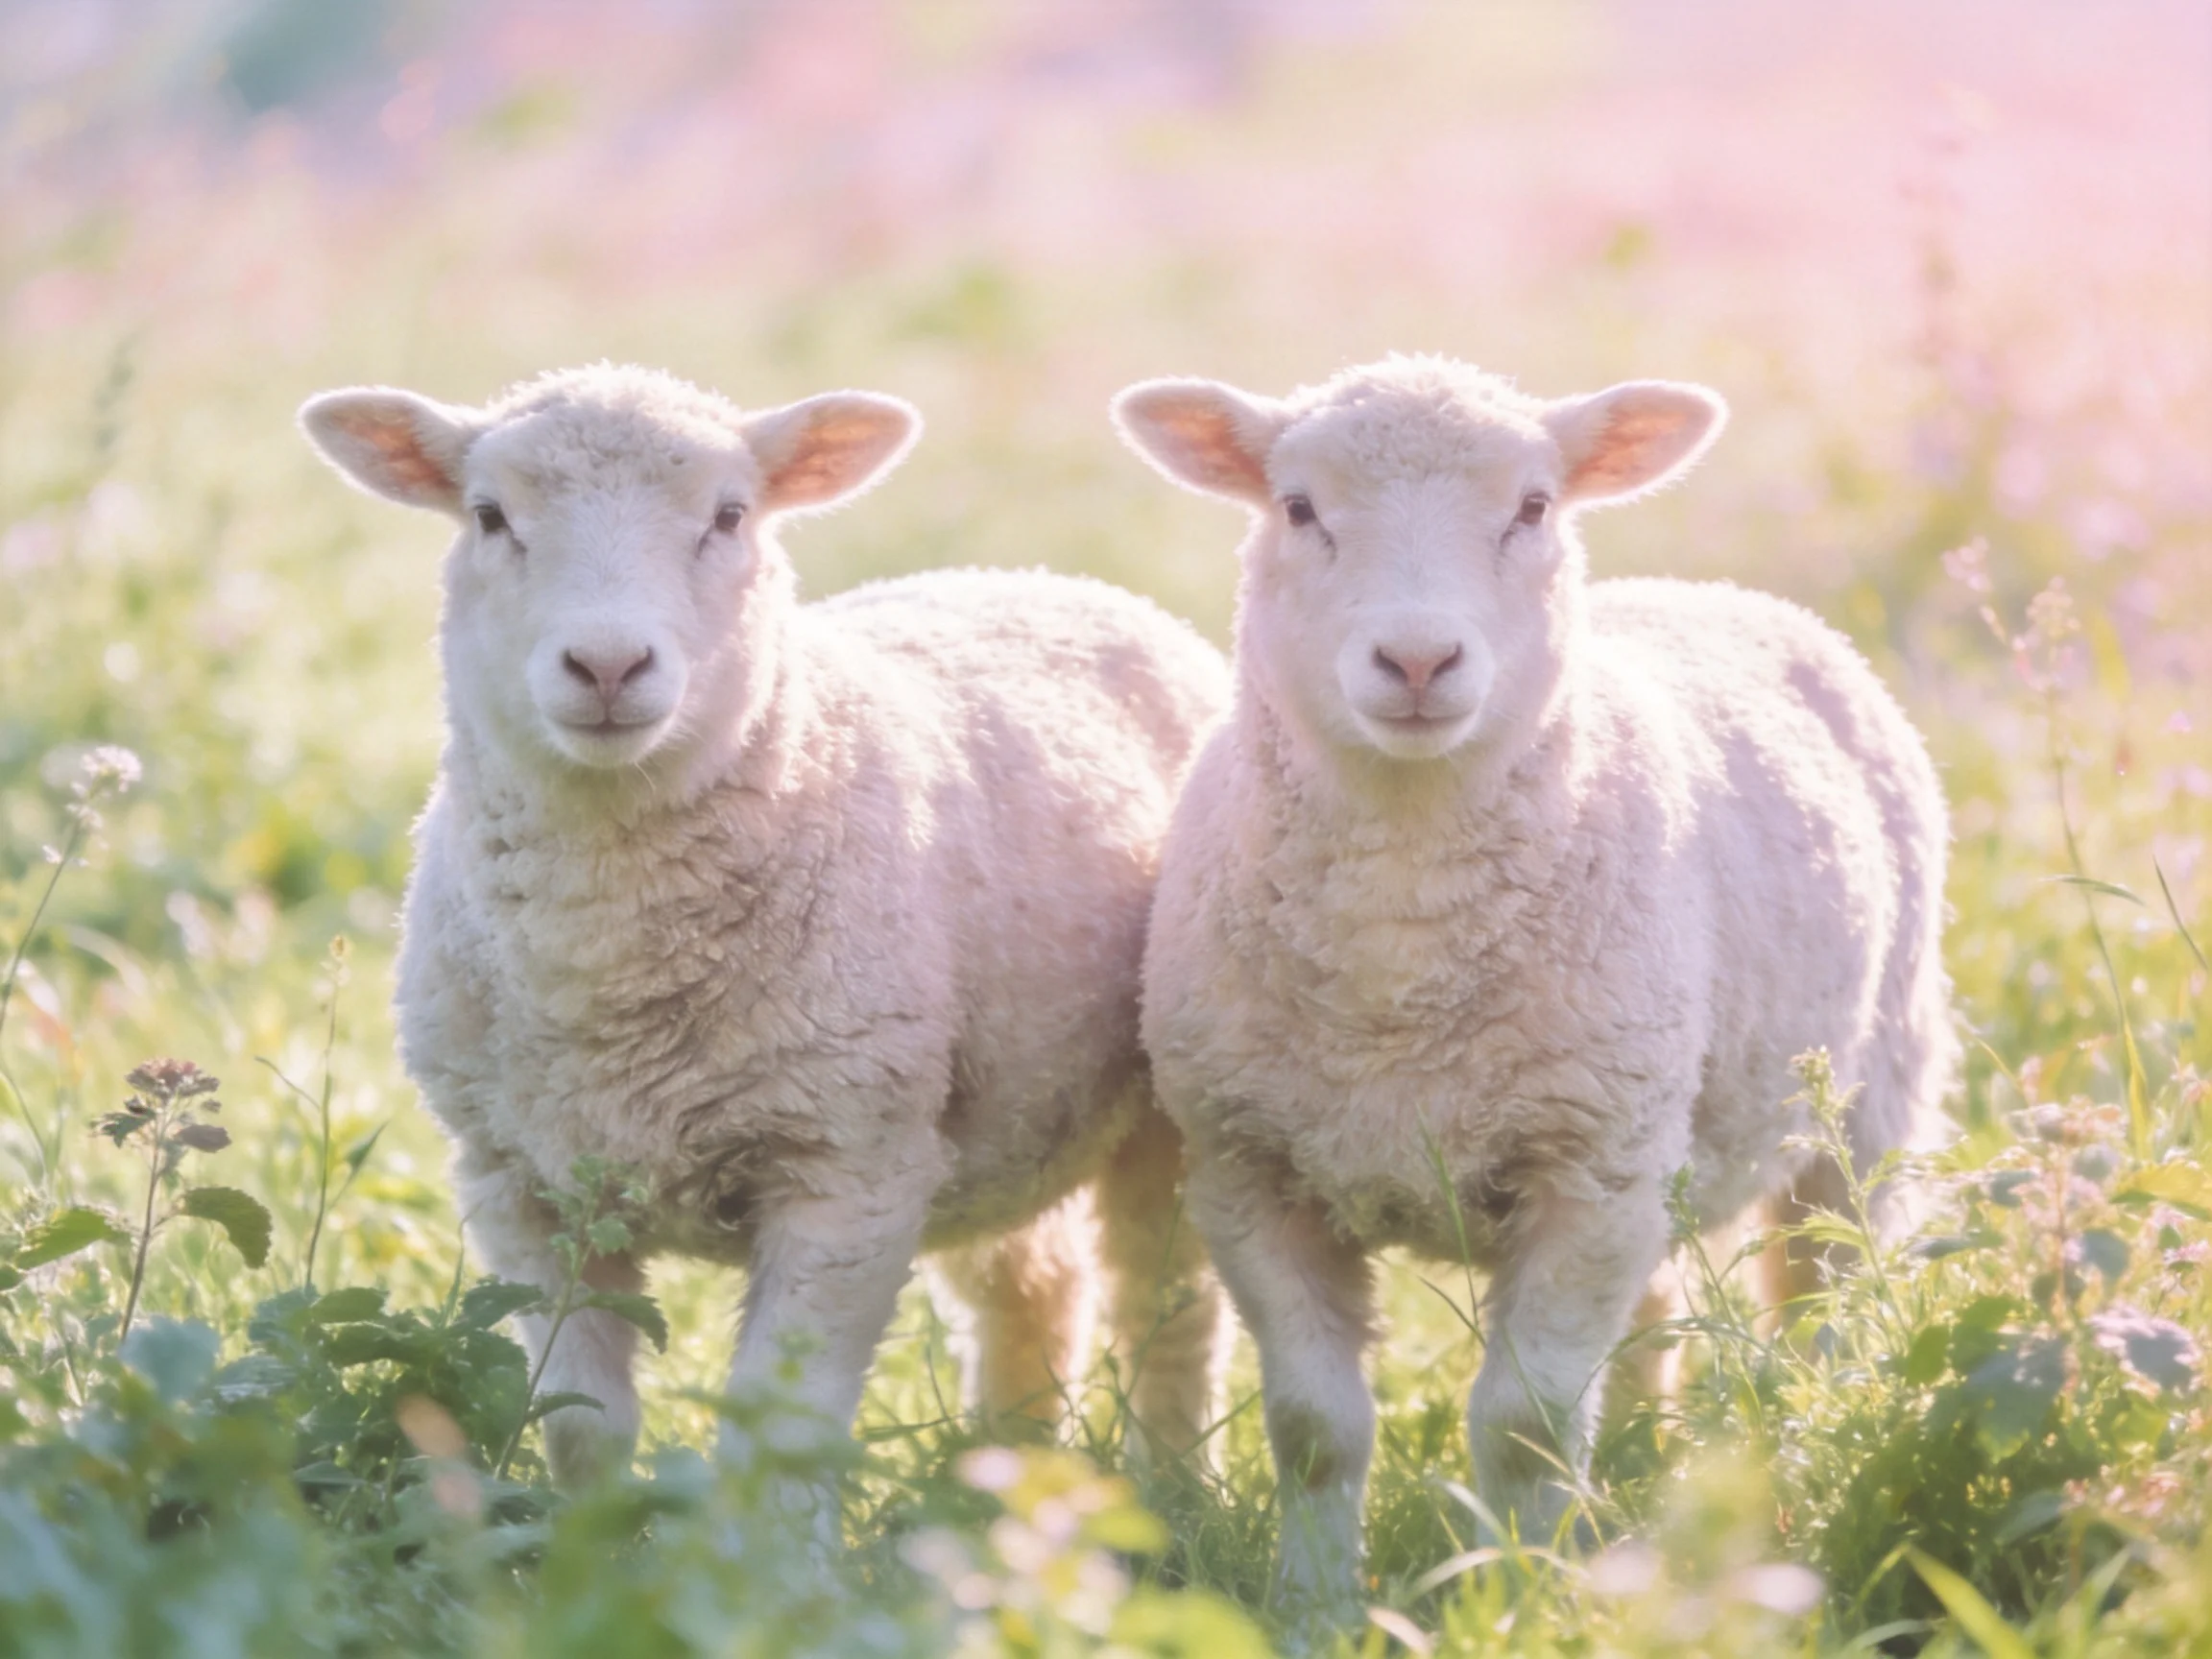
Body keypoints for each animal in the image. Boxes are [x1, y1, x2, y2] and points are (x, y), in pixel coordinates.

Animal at [297, 363, 1230, 1512]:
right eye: (489, 516)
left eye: (730, 516)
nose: (607, 664)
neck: (605, 968)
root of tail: (1042, 575)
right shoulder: (519, 1182)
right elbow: (581, 1426)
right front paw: (589, 1539)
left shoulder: (847, 1167)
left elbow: (776, 1437)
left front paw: (769, 1561)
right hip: (1002, 1107)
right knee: (1032, 1289)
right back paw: (996, 1481)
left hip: (1159, 1107)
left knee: (1167, 1303)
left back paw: (1175, 1492)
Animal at [1112, 354, 1954, 1602]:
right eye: (1298, 508)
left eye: (1534, 508)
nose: (1418, 660)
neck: (1400, 972)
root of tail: (1717, 592)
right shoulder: (1250, 1167)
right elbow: (1315, 1429)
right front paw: (1316, 1602)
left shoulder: (1586, 1170)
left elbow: (1526, 1425)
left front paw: (1517, 1594)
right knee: (1655, 1306)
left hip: (1864, 1103)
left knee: (1824, 1299)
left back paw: (1805, 1454)